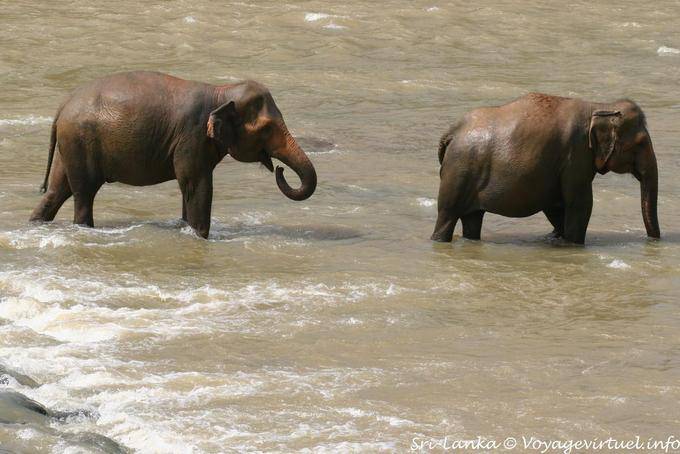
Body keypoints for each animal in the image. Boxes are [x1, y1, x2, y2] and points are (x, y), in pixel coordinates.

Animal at [29, 71, 317, 238]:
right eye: (267, 128)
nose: (280, 169)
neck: (221, 91)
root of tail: (63, 105)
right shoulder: (192, 136)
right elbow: (197, 185)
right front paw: (200, 237)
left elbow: (188, 189)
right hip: (80, 142)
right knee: (84, 193)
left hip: (70, 145)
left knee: (58, 190)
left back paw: (36, 223)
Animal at [431, 93, 660, 244]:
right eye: (640, 143)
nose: (653, 241)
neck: (599, 106)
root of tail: (451, 132)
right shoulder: (576, 156)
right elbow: (580, 204)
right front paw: (573, 244)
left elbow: (556, 205)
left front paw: (557, 238)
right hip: (458, 174)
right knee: (446, 217)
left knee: (472, 219)